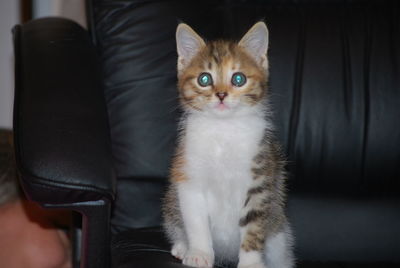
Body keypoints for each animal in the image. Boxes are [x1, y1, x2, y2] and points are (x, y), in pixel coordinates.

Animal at [162, 21, 294, 268]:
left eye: (238, 79)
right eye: (204, 79)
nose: (221, 95)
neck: (223, 131)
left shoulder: (260, 179)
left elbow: (253, 226)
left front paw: (251, 263)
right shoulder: (189, 175)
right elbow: (195, 219)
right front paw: (199, 253)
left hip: (279, 231)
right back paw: (182, 247)